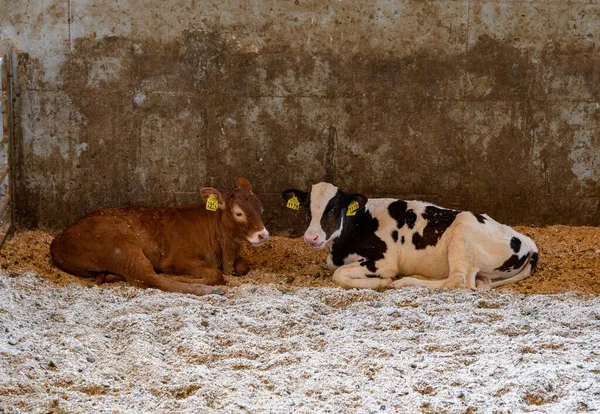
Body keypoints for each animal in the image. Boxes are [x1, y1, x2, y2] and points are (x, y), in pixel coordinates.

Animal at [49, 177, 270, 294]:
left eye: (261, 208)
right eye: (238, 213)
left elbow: (242, 266)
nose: (263, 234)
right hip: (121, 245)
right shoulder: (178, 258)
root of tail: (59, 238)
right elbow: (216, 274)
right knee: (148, 277)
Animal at [282, 183, 540, 290]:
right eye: (307, 208)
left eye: (334, 209)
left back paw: (404, 281)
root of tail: (525, 239)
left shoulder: (383, 261)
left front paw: (381, 282)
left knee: (458, 281)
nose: (311, 237)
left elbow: (340, 275)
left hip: (463, 235)